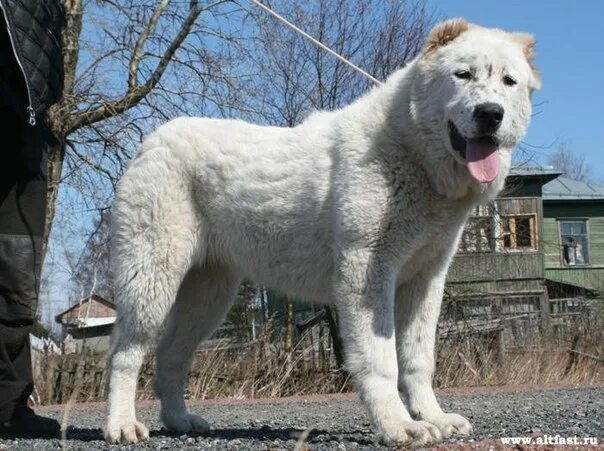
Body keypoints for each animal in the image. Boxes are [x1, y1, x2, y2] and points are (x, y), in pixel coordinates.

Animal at [102, 19, 536, 446]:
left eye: (508, 81)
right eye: (463, 75)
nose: (490, 113)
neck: (409, 148)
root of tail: (153, 139)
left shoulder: (425, 281)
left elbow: (417, 358)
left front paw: (434, 418)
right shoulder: (367, 274)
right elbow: (381, 360)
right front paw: (399, 426)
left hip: (208, 296)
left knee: (171, 356)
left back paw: (179, 420)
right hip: (152, 281)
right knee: (124, 353)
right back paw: (121, 425)